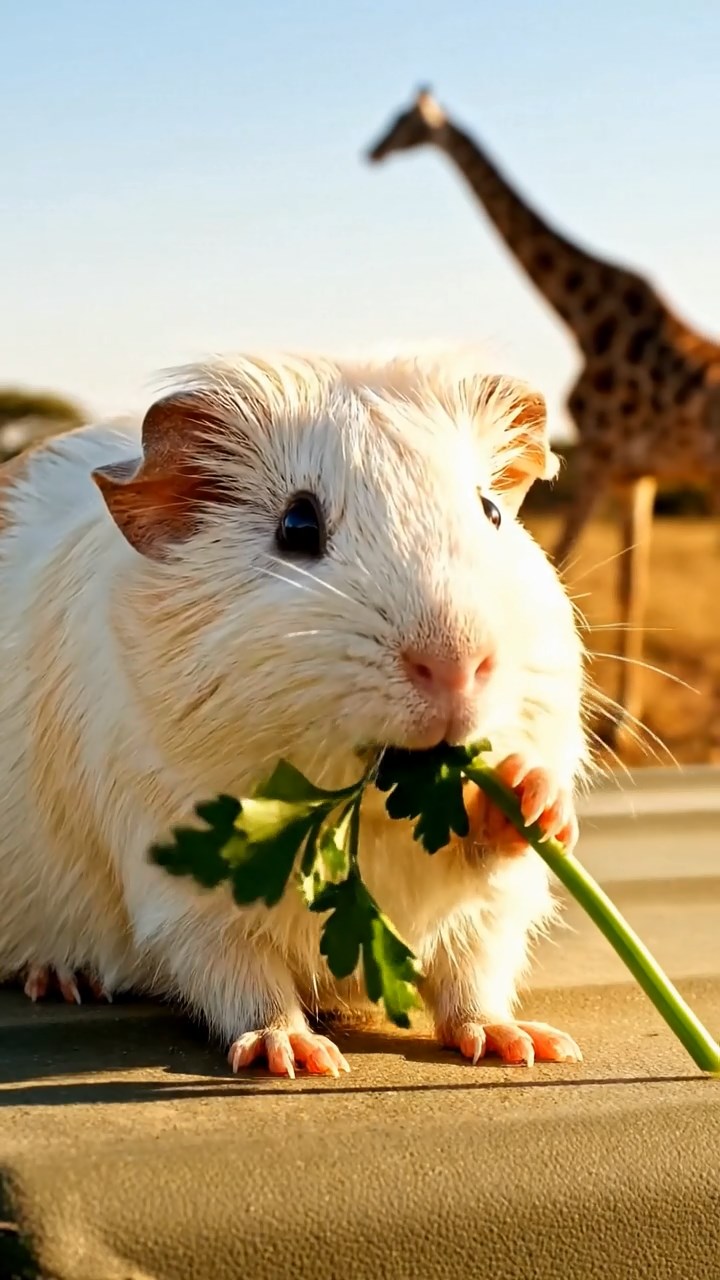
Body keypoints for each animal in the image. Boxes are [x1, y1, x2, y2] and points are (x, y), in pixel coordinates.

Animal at [366, 88, 720, 751]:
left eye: (402, 121)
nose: (371, 152)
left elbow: (562, 564)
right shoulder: (635, 472)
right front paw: (622, 721)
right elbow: (631, 581)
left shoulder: (602, 453)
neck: (583, 317)